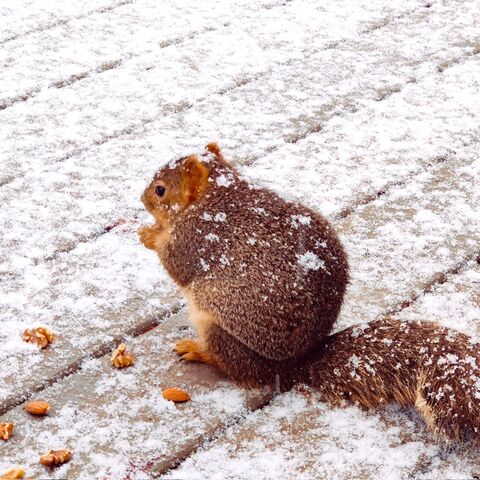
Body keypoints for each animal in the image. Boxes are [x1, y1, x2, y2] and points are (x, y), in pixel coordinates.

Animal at [139, 143, 480, 441]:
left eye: (160, 190)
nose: (142, 199)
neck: (218, 195)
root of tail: (291, 366)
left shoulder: (197, 237)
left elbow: (176, 263)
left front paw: (150, 235)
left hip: (218, 331)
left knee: (232, 367)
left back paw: (198, 350)